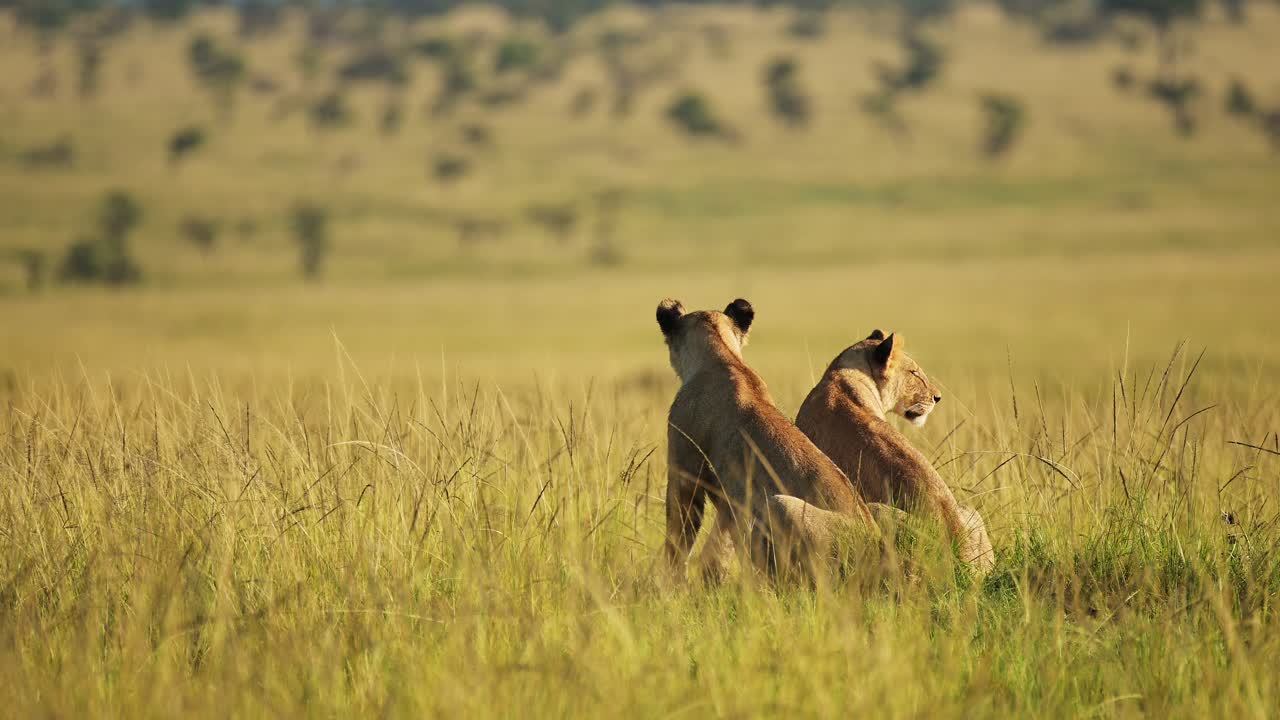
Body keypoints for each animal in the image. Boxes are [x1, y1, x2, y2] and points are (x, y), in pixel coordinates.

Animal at [656, 298, 879, 578]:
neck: (722, 355)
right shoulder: (730, 504)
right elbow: (721, 546)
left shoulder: (685, 468)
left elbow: (679, 537)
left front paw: (668, 582)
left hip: (780, 505)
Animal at [794, 330, 995, 573]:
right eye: (914, 373)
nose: (937, 398)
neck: (842, 375)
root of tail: (962, 555)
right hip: (969, 511)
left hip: (875, 513)